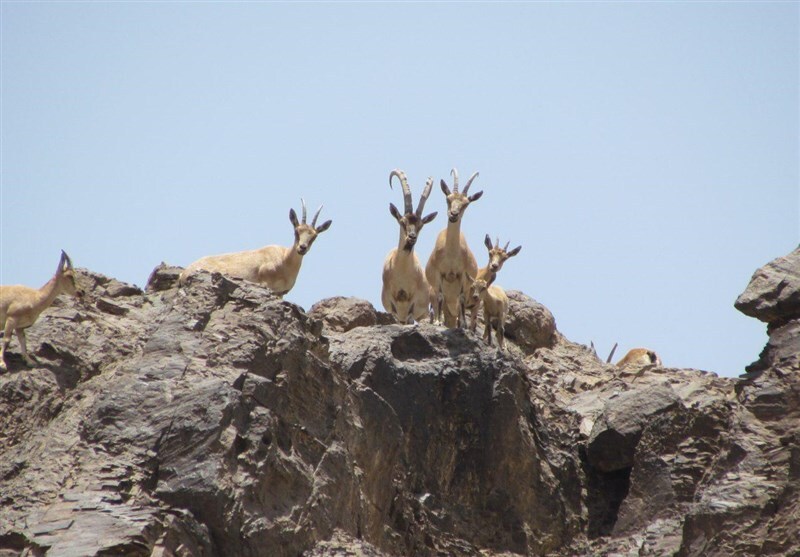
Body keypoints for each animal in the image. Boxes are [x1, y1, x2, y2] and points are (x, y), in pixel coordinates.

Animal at [180, 199, 332, 298]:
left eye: (314, 236)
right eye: (296, 231)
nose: (302, 248)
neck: (284, 260)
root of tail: (184, 273)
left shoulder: (281, 293)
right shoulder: (266, 284)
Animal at [382, 169, 438, 322]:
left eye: (421, 225)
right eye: (402, 222)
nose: (412, 237)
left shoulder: (415, 302)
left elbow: (411, 316)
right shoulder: (390, 301)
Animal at [422, 167, 484, 328]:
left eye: (466, 204)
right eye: (448, 199)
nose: (454, 214)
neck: (450, 254)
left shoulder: (462, 274)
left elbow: (461, 298)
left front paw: (463, 324)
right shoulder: (438, 274)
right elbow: (439, 296)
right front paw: (438, 322)